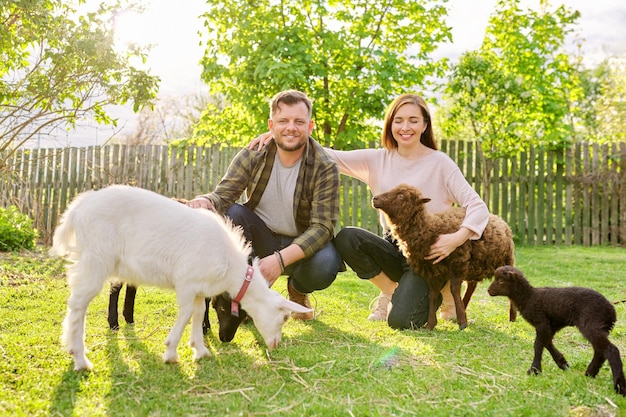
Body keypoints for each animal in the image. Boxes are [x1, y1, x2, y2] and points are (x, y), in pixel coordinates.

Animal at [51, 185, 310, 370]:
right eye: (284, 317)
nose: (275, 344)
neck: (231, 268)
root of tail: (78, 208)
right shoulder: (186, 283)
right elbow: (185, 314)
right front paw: (171, 352)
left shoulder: (198, 288)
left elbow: (197, 312)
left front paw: (200, 350)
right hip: (96, 260)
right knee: (78, 305)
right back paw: (80, 359)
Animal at [370, 184, 512, 330]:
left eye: (401, 196)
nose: (375, 199)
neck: (429, 228)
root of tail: (498, 218)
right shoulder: (431, 271)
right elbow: (433, 294)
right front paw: (430, 325)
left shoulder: (457, 263)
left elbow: (454, 290)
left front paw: (462, 322)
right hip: (474, 267)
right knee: (471, 286)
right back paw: (464, 306)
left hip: (507, 260)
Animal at [488, 264, 624, 394]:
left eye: (501, 281)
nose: (488, 290)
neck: (529, 297)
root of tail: (611, 312)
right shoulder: (551, 325)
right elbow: (546, 342)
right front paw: (562, 363)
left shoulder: (542, 322)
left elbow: (538, 345)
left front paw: (534, 370)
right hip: (598, 327)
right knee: (600, 350)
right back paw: (590, 373)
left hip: (591, 324)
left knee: (610, 349)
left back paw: (619, 386)